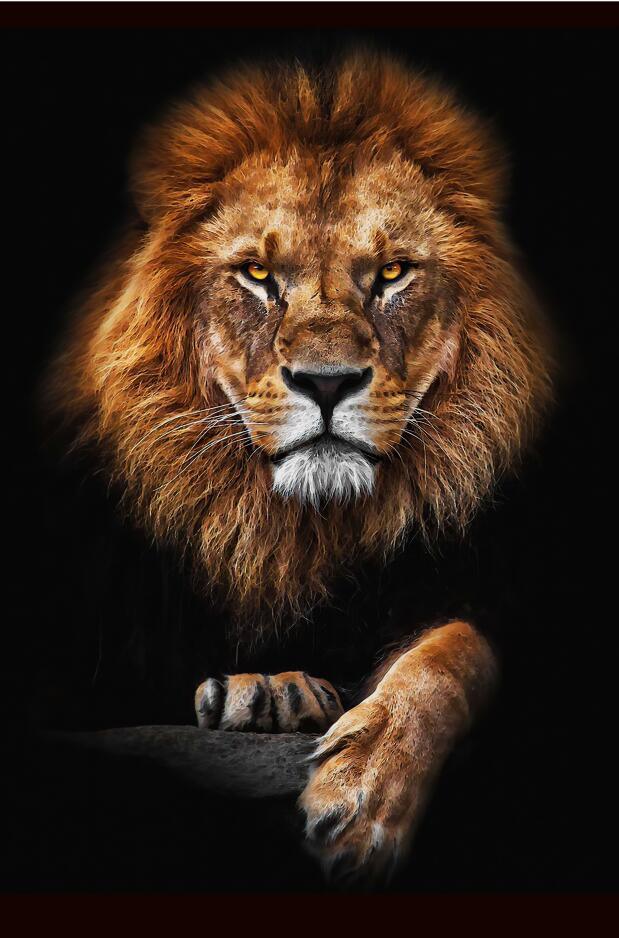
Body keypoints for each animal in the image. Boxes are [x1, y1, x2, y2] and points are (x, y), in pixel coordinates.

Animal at [46, 51, 553, 882]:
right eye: (256, 274)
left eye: (391, 273)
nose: (325, 382)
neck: (299, 532)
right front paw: (270, 693)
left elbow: (453, 651)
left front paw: (365, 793)